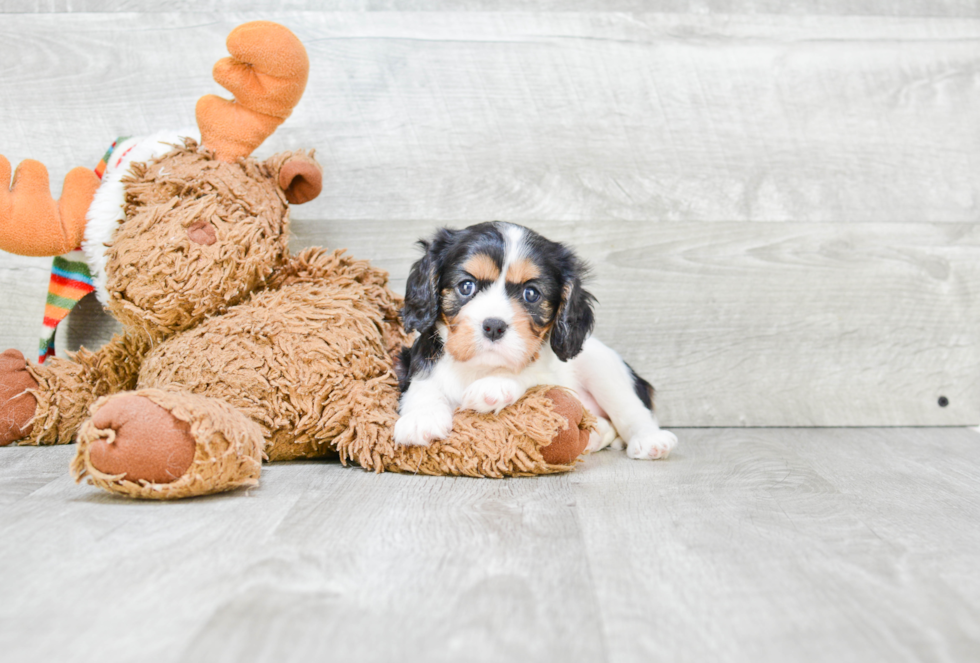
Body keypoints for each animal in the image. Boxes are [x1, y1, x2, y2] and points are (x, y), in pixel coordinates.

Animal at [394, 223, 676, 462]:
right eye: (466, 286)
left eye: (531, 294)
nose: (494, 326)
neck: (480, 367)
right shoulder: (417, 360)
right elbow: (424, 381)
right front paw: (422, 416)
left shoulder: (550, 374)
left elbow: (532, 373)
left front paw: (495, 385)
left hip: (603, 367)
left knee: (630, 411)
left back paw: (650, 440)